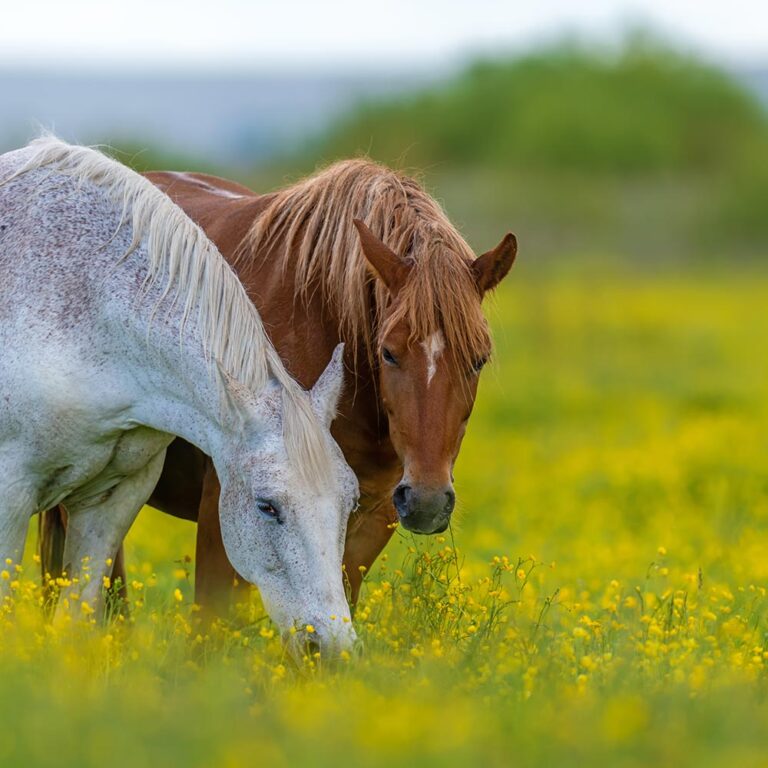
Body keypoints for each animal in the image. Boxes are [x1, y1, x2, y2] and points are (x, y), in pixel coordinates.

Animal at [0, 138, 360, 656]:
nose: (332, 650)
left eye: (352, 503)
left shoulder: (112, 500)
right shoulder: (9, 493)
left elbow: (76, 621)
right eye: (267, 506)